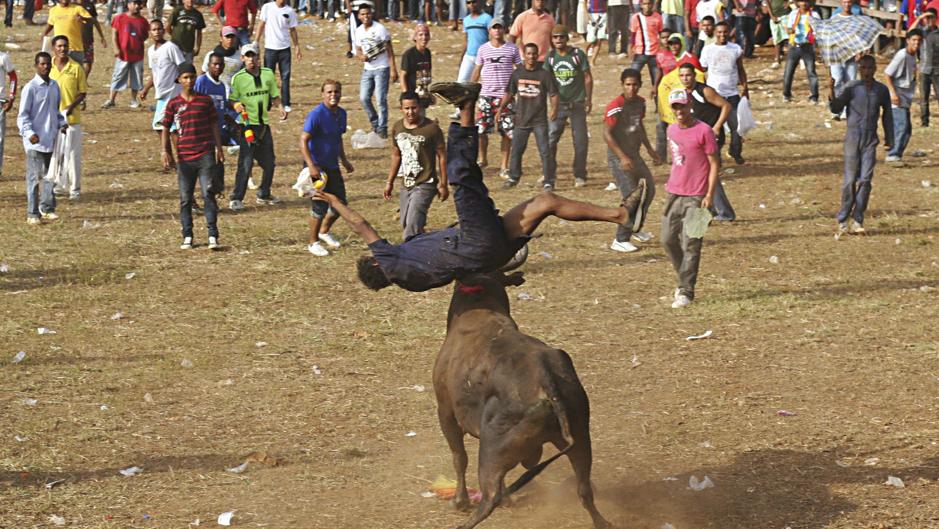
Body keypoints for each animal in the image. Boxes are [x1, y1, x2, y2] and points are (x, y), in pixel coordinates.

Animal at [436, 272, 612, 528]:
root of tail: (546, 380)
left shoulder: (446, 412)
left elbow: (459, 457)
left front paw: (460, 501)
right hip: (580, 438)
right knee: (584, 489)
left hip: (490, 451)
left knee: (490, 496)